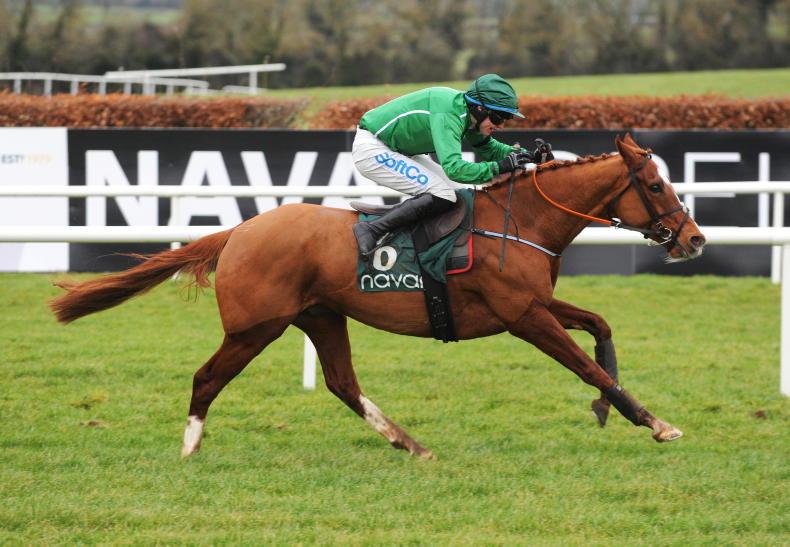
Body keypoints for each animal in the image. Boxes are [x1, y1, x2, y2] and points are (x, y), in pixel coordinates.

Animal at [50, 134, 706, 459]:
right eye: (654, 186)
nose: (695, 239)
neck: (520, 221)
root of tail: (240, 230)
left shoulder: (534, 305)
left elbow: (600, 326)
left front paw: (607, 410)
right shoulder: (522, 316)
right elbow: (585, 366)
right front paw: (654, 422)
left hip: (321, 317)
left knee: (343, 384)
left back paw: (409, 443)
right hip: (255, 326)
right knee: (207, 377)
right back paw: (189, 449)